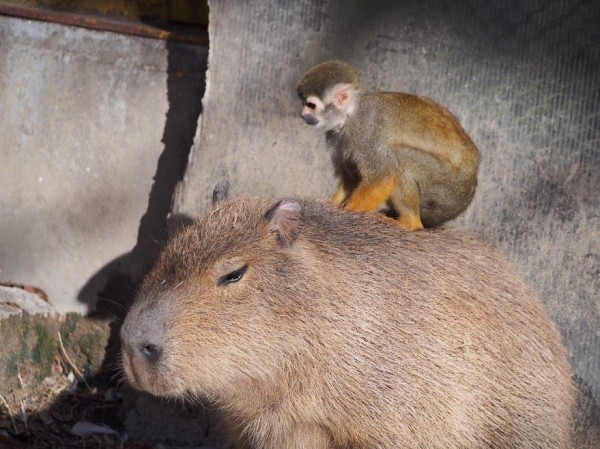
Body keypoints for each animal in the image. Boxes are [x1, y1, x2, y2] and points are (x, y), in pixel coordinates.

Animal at [298, 61, 480, 229]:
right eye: (304, 104)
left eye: (311, 105)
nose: (303, 115)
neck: (348, 114)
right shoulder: (336, 136)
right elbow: (352, 178)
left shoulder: (364, 128)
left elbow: (383, 175)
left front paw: (348, 215)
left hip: (448, 187)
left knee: (398, 159)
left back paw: (410, 223)